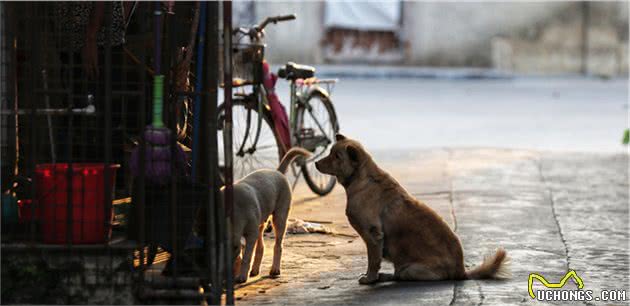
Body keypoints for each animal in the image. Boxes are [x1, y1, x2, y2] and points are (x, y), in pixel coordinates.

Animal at [316, 134, 512, 284]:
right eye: (330, 152)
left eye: (336, 156)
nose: (316, 163)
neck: (362, 177)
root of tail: (461, 271)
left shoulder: (373, 236)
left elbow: (373, 260)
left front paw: (370, 278)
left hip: (409, 269)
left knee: (399, 276)